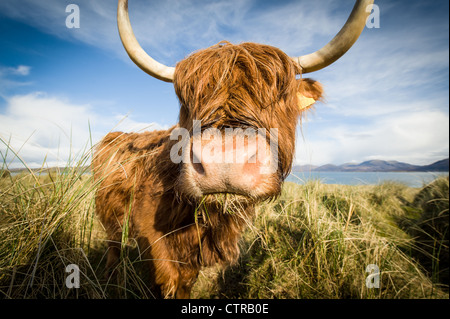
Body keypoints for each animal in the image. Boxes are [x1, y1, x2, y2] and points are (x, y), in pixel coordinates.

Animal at [92, 0, 372, 300]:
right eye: (186, 101)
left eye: (280, 96)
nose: (225, 159)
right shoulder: (154, 242)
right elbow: (169, 282)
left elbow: (185, 282)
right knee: (113, 249)